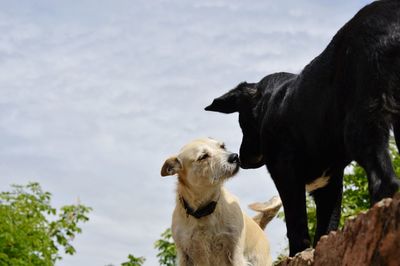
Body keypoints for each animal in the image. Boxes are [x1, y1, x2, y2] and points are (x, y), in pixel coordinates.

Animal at [206, 0, 400, 258]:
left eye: (242, 121)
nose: (242, 158)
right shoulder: (329, 183)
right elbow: (326, 225)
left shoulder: (287, 174)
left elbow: (296, 222)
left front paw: (298, 253)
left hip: (360, 123)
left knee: (384, 180)